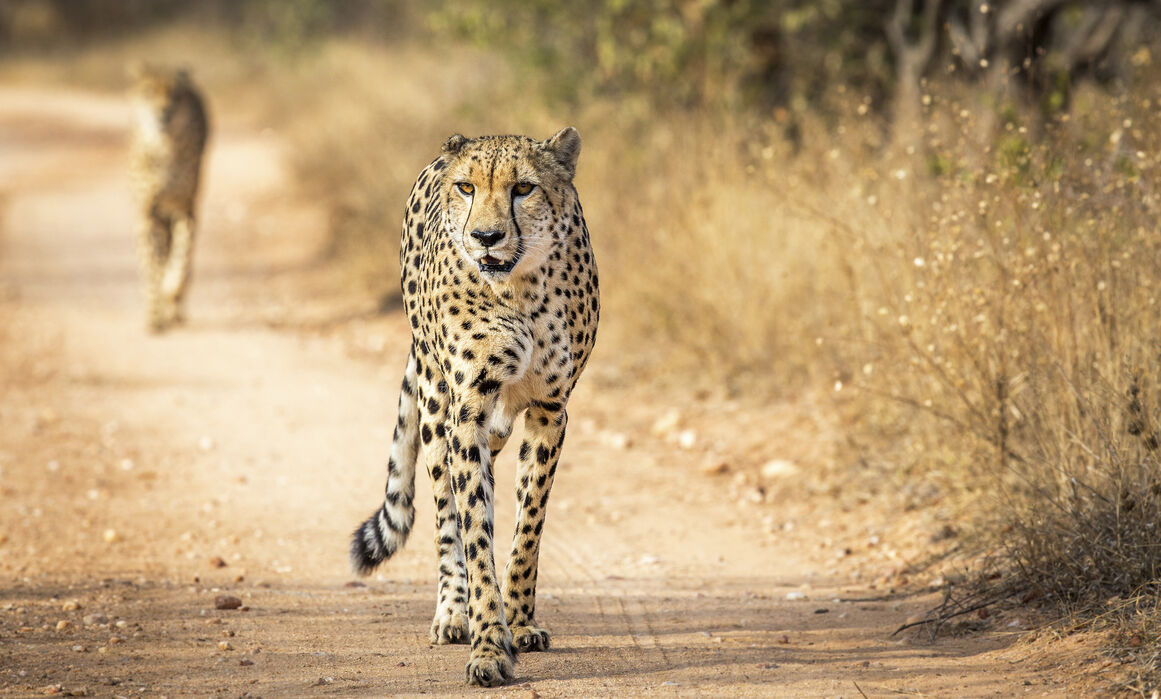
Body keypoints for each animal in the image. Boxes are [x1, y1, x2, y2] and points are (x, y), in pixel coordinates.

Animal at [127, 62, 208, 332]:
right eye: (149, 92)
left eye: (175, 96)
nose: (164, 113)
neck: (165, 146)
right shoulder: (148, 214)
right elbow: (152, 266)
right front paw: (154, 316)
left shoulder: (187, 209)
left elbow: (182, 258)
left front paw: (171, 289)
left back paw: (175, 309)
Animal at [348, 127, 599, 682]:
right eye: (467, 188)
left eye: (524, 188)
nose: (485, 236)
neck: (520, 287)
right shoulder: (467, 411)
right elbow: (474, 530)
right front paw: (487, 644)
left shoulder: (549, 408)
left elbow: (529, 526)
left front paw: (520, 621)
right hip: (436, 401)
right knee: (447, 509)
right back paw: (452, 612)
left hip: (499, 424)